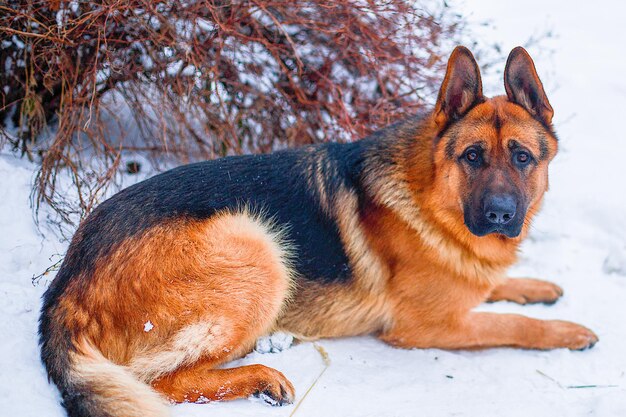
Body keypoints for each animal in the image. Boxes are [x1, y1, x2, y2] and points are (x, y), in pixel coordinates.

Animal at [37, 46, 596, 416]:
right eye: (473, 157)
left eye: (522, 158)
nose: (501, 215)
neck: (433, 196)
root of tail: (64, 288)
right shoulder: (429, 328)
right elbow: (512, 325)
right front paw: (569, 332)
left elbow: (499, 286)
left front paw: (539, 286)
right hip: (258, 249)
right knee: (160, 381)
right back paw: (260, 377)